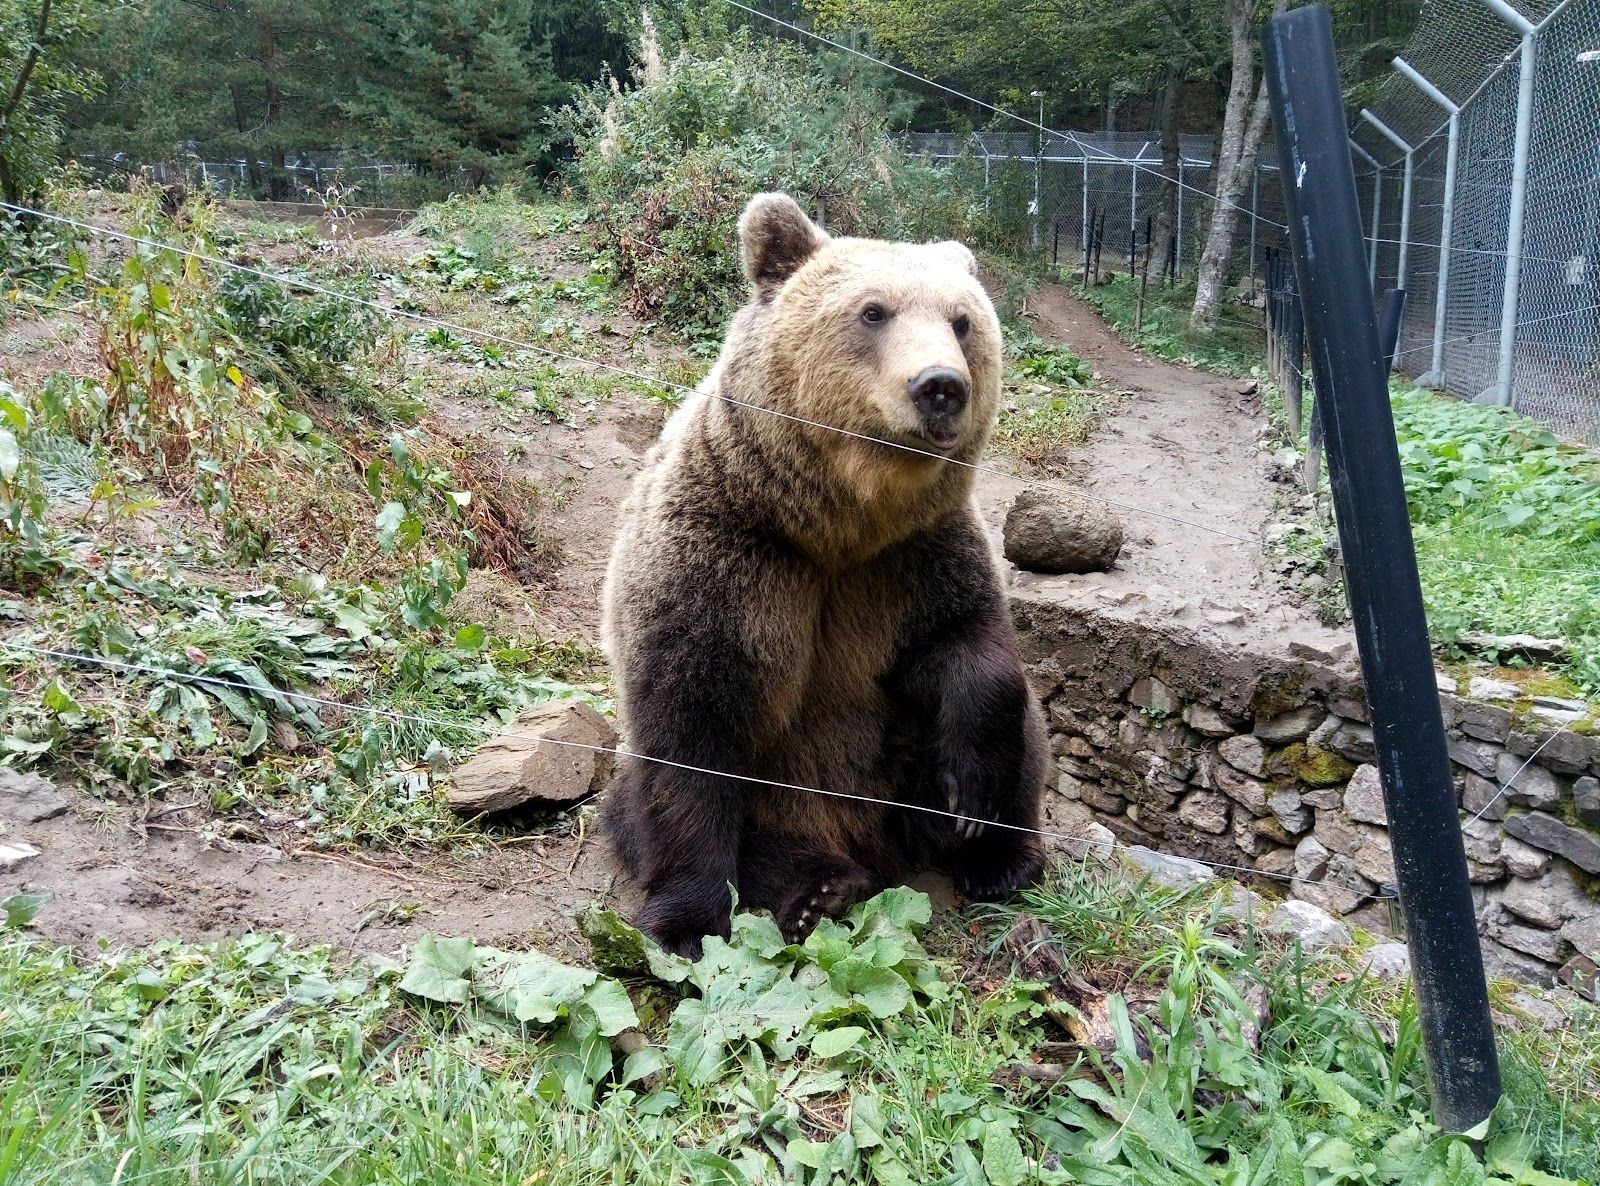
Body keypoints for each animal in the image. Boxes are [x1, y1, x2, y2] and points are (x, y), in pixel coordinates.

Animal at [600, 192, 1046, 958]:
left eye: (962, 321)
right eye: (874, 311)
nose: (941, 387)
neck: (839, 521)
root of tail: (874, 844)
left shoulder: (915, 557)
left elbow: (971, 645)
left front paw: (973, 798)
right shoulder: (731, 552)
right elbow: (691, 736)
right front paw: (688, 922)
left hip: (898, 776)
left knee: (1030, 730)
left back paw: (999, 860)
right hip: (781, 797)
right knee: (636, 803)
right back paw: (816, 888)